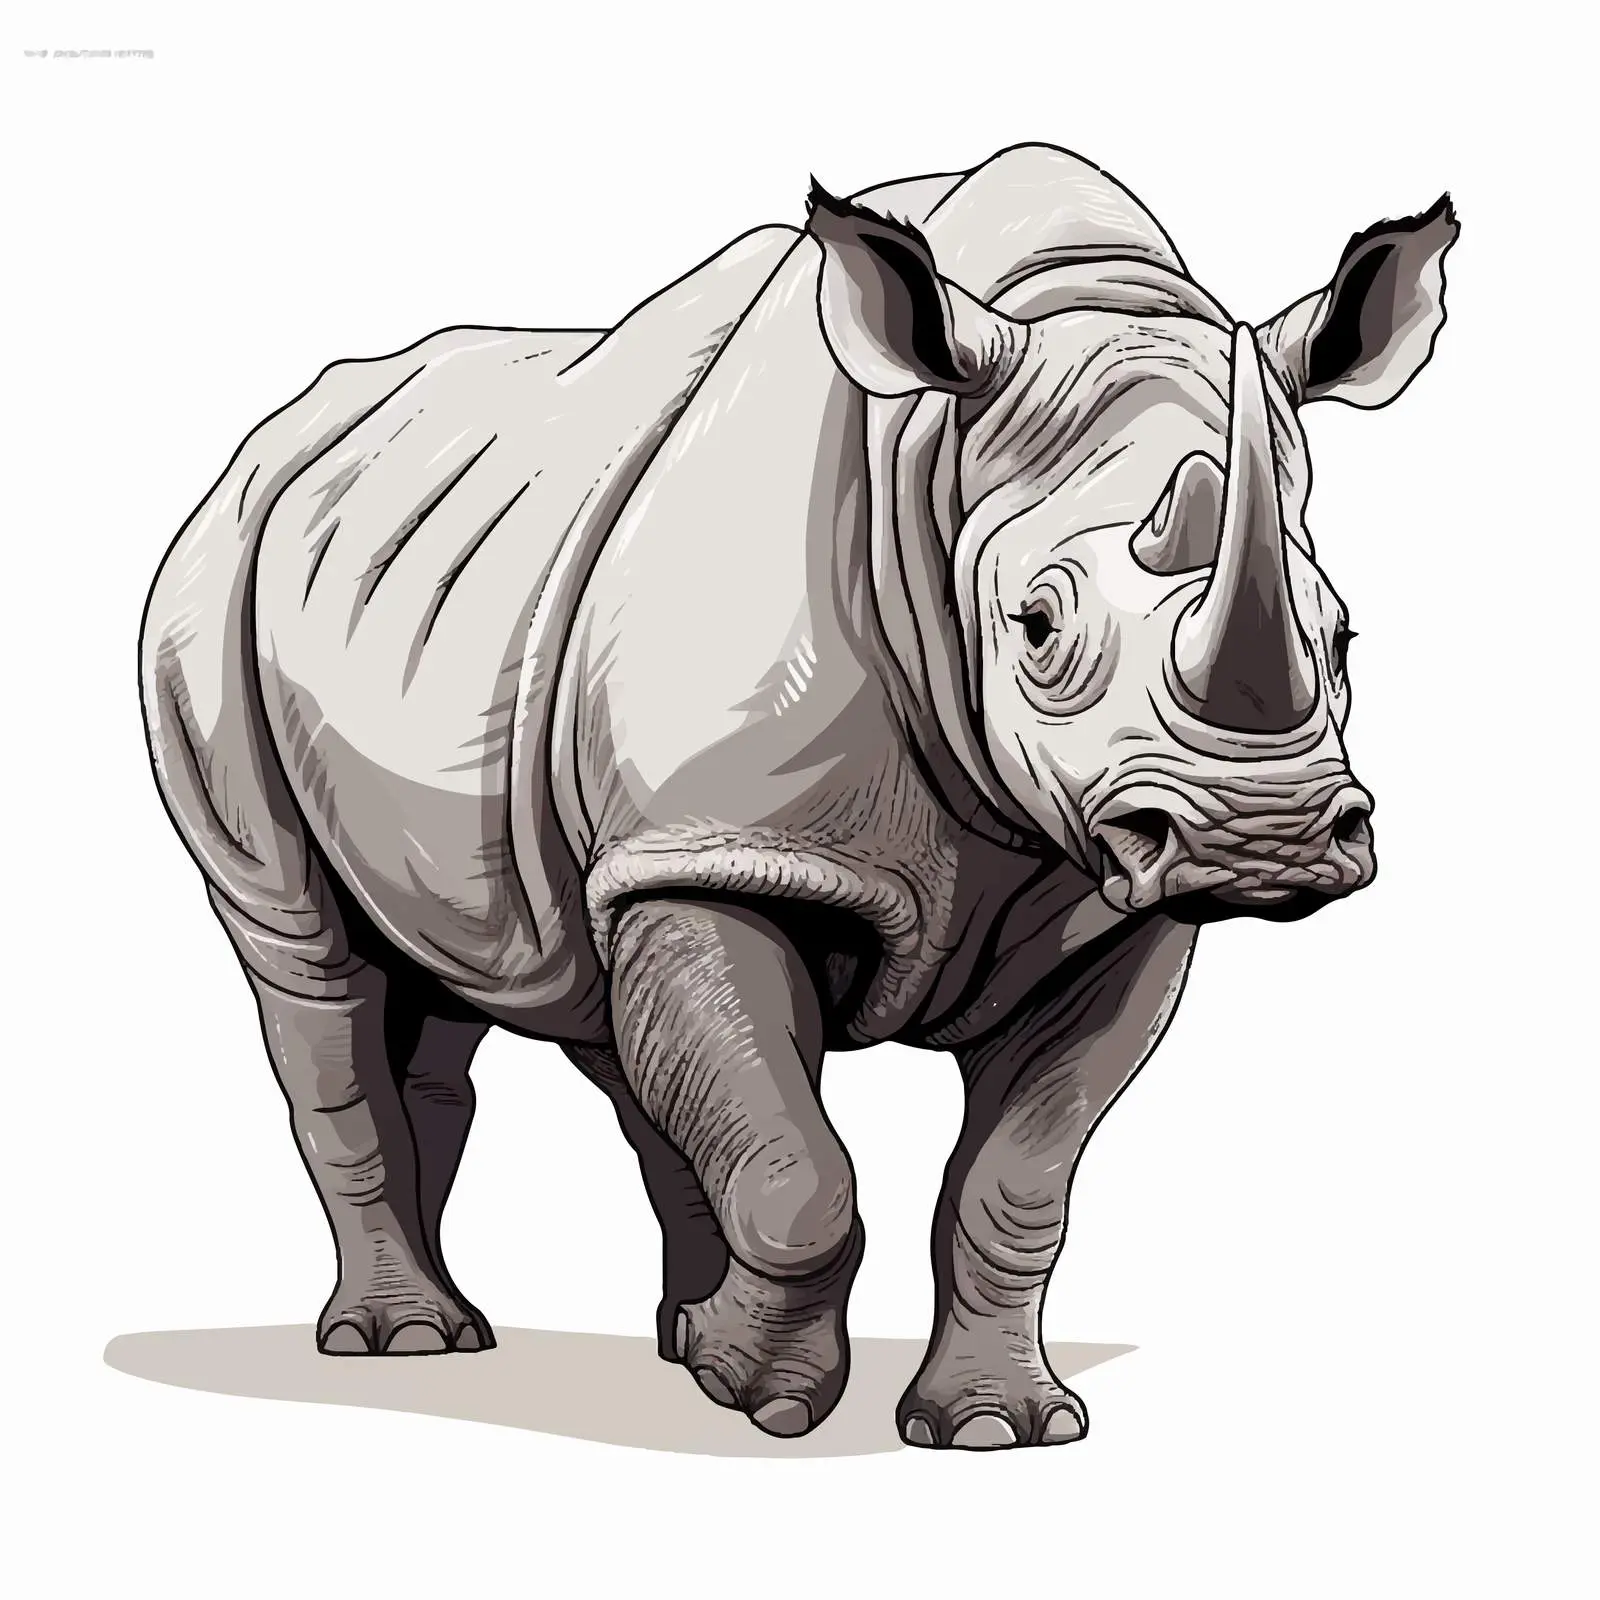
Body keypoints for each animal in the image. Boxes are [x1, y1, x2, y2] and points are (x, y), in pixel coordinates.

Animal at [140, 143, 1456, 1449]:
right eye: (1036, 625)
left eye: (1342, 635)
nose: (1264, 842)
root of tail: (278, 433)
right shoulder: (718, 843)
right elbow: (797, 1165)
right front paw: (768, 1401)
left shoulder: (1113, 904)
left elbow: (1018, 1179)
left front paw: (995, 1426)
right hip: (208, 584)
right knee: (313, 963)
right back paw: (411, 1341)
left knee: (542, 988)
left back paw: (657, 1337)